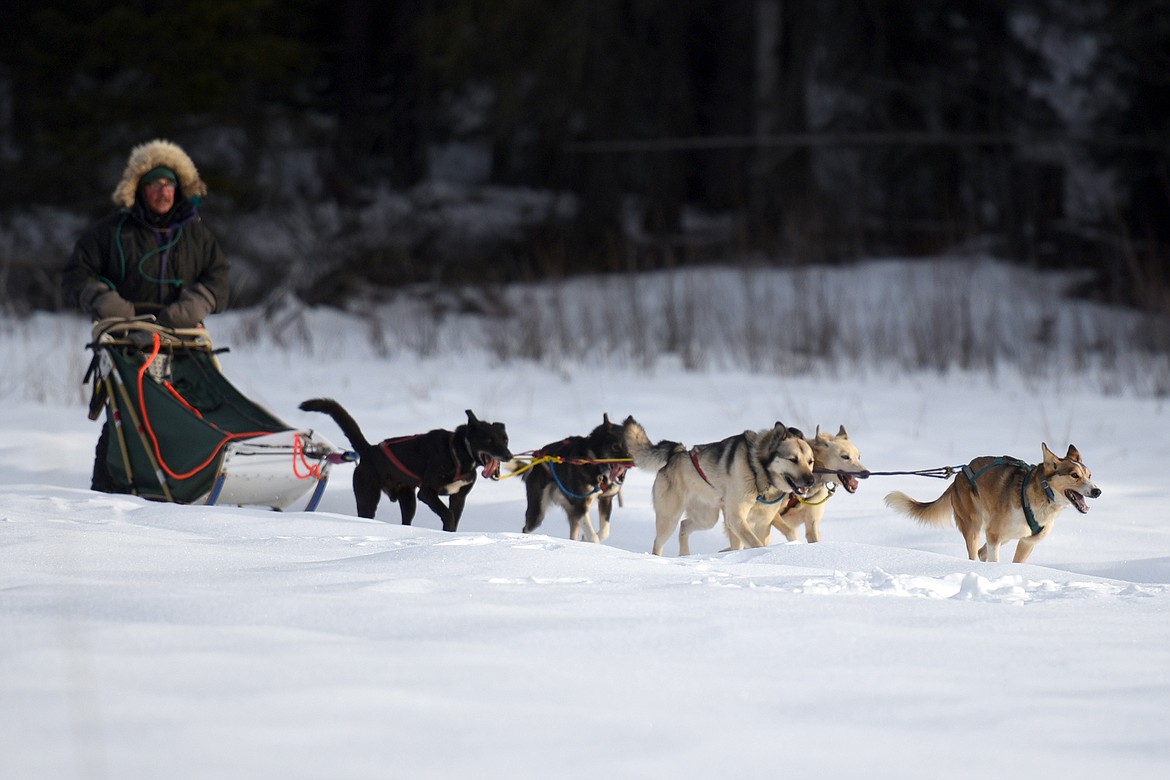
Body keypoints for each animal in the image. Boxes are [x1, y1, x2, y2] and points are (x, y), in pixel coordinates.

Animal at [299, 399, 510, 533]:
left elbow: (452, 518)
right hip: (368, 497)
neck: (459, 453)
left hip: (408, 500)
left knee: (406, 520)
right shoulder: (427, 492)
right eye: (489, 440)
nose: (508, 456)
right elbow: (447, 514)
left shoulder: (459, 497)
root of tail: (369, 450)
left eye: (505, 439)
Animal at [519, 413, 631, 542]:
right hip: (538, 512)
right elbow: (593, 536)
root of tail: (538, 455)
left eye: (632, 445)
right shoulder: (581, 504)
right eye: (616, 446)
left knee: (574, 533)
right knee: (527, 527)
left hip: (572, 513)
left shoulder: (605, 499)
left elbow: (605, 531)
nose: (631, 461)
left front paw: (585, 539)